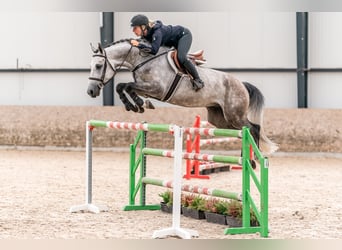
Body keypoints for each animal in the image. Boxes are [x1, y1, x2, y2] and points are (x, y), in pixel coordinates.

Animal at [87, 38, 278, 154]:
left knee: (253, 128)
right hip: (220, 119)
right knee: (244, 131)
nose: (91, 91)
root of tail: (241, 84)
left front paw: (137, 104)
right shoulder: (147, 88)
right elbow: (124, 87)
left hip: (234, 115)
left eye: (98, 65)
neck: (143, 59)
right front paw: (137, 105)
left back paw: (254, 161)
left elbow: (125, 85)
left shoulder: (157, 89)